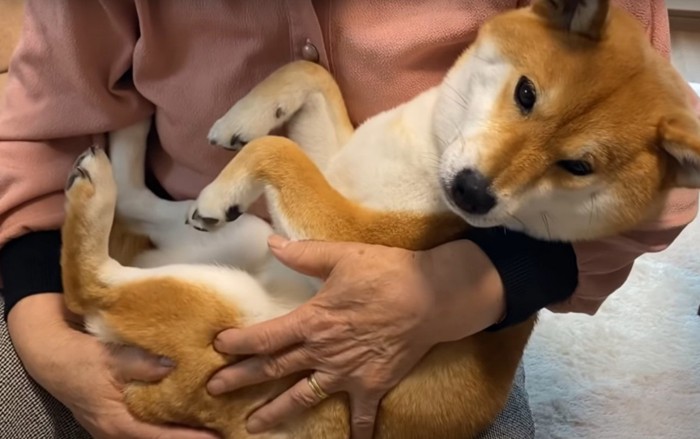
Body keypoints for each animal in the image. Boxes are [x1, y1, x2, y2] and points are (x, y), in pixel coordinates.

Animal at [58, 0, 700, 438]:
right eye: (525, 93)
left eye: (578, 166)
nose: (472, 194)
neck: (426, 153)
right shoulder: (337, 161)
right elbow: (310, 77)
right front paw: (245, 116)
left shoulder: (356, 234)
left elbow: (278, 152)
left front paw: (233, 170)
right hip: (253, 237)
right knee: (140, 205)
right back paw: (127, 132)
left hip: (225, 310)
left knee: (91, 286)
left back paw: (105, 192)